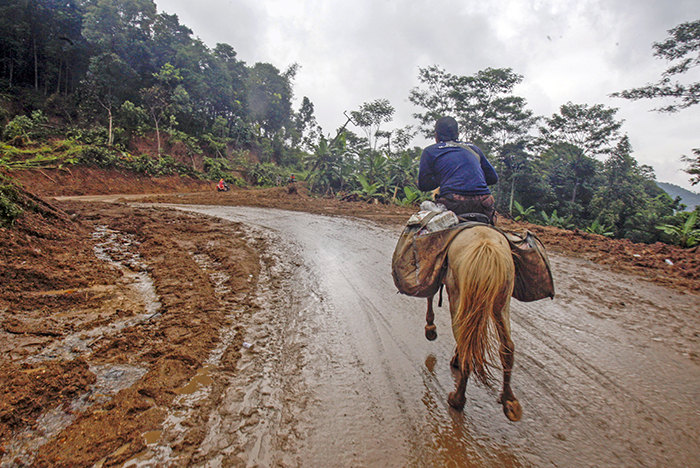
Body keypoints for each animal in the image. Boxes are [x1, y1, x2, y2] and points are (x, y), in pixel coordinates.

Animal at [422, 225, 520, 422]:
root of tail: (486, 246)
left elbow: (430, 294)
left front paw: (430, 329)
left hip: (459, 295)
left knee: (466, 341)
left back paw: (457, 399)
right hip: (501, 300)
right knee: (506, 346)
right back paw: (509, 401)